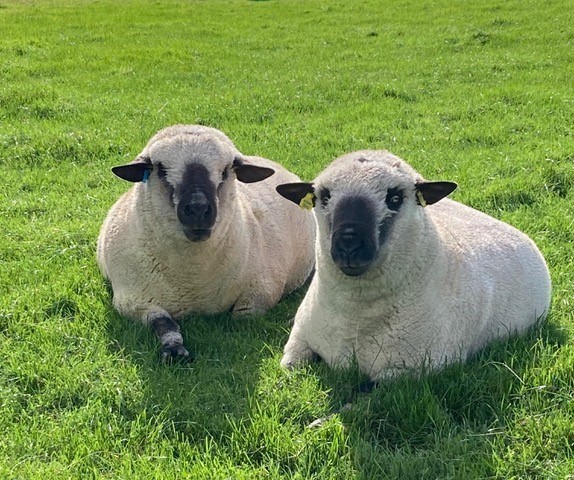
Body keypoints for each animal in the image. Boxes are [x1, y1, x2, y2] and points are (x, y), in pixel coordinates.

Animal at [98, 125, 316, 362]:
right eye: (161, 169)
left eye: (226, 170)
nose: (198, 209)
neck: (193, 285)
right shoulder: (131, 300)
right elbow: (163, 322)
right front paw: (174, 349)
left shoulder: (263, 290)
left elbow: (242, 317)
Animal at [276, 151, 556, 382]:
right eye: (324, 197)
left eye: (395, 197)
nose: (349, 244)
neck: (355, 319)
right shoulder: (298, 343)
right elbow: (287, 372)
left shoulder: (409, 372)